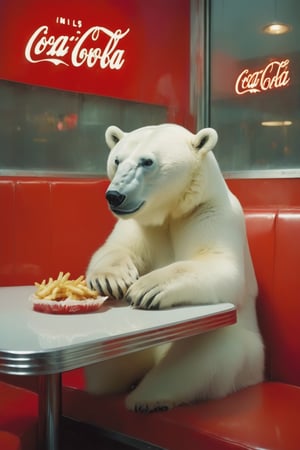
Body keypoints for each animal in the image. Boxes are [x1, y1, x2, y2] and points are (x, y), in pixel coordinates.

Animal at [85, 122, 264, 412]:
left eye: (147, 161)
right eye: (117, 160)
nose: (115, 196)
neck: (171, 211)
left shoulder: (209, 212)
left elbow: (219, 264)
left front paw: (146, 289)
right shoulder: (141, 224)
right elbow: (116, 248)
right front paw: (110, 280)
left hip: (245, 353)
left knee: (204, 356)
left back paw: (147, 398)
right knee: (107, 369)